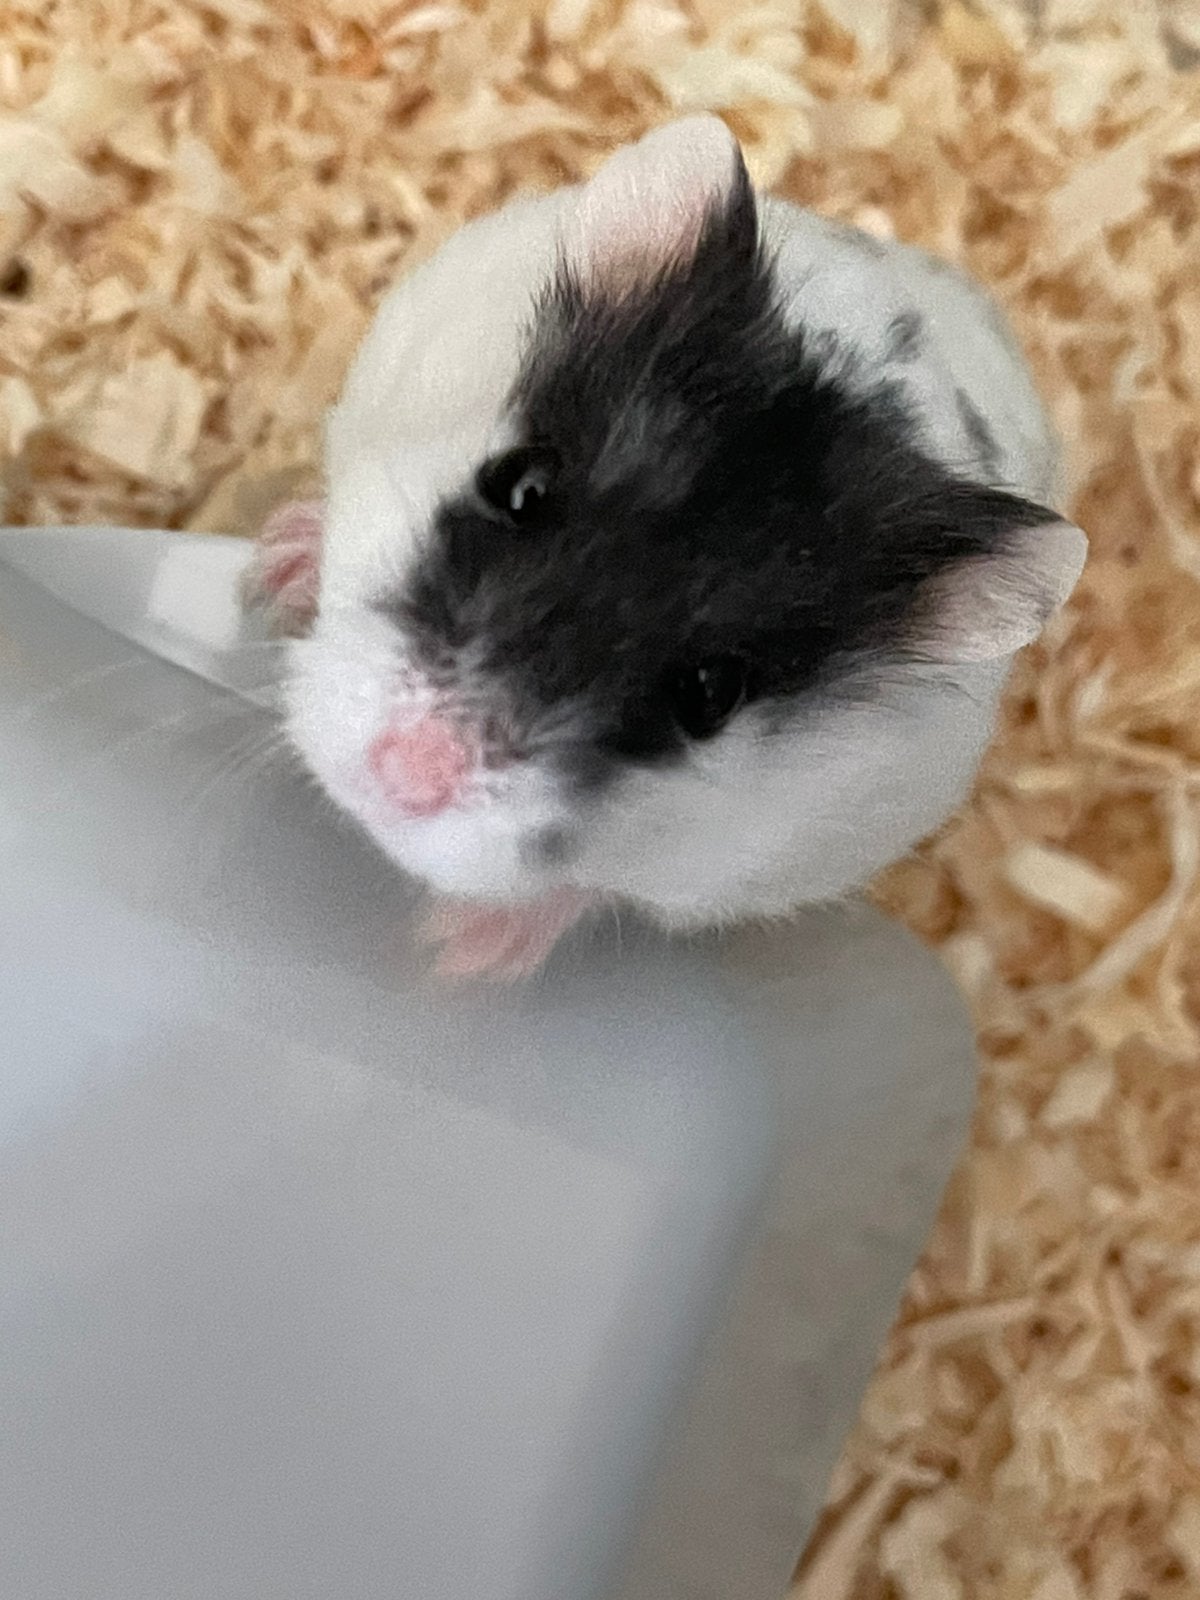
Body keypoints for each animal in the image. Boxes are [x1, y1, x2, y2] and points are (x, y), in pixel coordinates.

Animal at [255, 115, 1087, 977]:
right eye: (519, 485)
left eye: (711, 692)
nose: (407, 773)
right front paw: (274, 567)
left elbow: (590, 891)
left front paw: (456, 954)